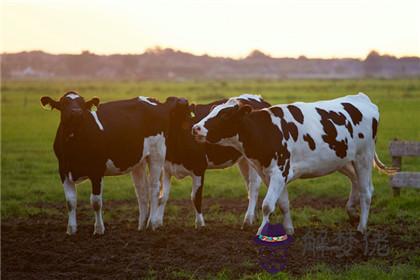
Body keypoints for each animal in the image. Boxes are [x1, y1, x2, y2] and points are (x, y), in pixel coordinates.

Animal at [39, 91, 187, 234]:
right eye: (64, 103)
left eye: (82, 104)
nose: (76, 112)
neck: (74, 144)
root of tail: (156, 102)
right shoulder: (63, 170)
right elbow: (70, 201)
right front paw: (71, 229)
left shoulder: (96, 170)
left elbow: (96, 202)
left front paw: (99, 229)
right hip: (138, 161)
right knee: (142, 191)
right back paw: (141, 226)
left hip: (157, 154)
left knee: (155, 188)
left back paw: (153, 223)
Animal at [156, 95, 270, 229]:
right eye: (170, 102)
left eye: (187, 111)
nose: (183, 101)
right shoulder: (166, 168)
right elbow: (163, 196)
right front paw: (157, 223)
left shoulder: (199, 168)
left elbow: (195, 197)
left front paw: (200, 224)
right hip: (244, 160)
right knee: (249, 185)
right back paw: (254, 216)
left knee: (253, 187)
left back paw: (248, 219)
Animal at [194, 93, 398, 235]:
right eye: (212, 111)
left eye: (224, 115)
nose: (195, 128)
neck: (266, 130)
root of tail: (361, 98)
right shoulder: (271, 174)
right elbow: (283, 204)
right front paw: (289, 230)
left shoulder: (279, 172)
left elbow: (267, 205)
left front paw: (261, 231)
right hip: (343, 160)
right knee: (356, 182)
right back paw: (351, 212)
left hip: (363, 157)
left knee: (366, 192)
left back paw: (362, 227)